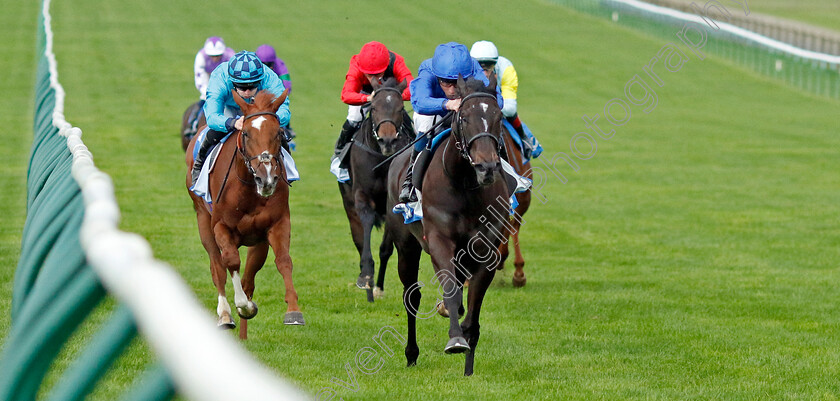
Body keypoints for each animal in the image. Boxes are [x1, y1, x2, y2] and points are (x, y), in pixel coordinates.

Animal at [185, 90, 304, 338]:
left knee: (249, 277)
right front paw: (242, 306)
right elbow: (230, 261)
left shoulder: (276, 224)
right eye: (247, 133)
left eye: (279, 133)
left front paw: (293, 311)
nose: (266, 178)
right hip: (203, 220)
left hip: (256, 240)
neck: (248, 190)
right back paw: (225, 315)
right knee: (217, 267)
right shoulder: (220, 226)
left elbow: (284, 261)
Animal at [336, 77, 412, 300]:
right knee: (357, 235)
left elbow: (386, 247)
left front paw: (378, 286)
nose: (387, 140)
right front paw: (366, 274)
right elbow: (366, 226)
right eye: (375, 107)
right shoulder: (361, 195)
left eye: (400, 108)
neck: (381, 159)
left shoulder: (391, 201)